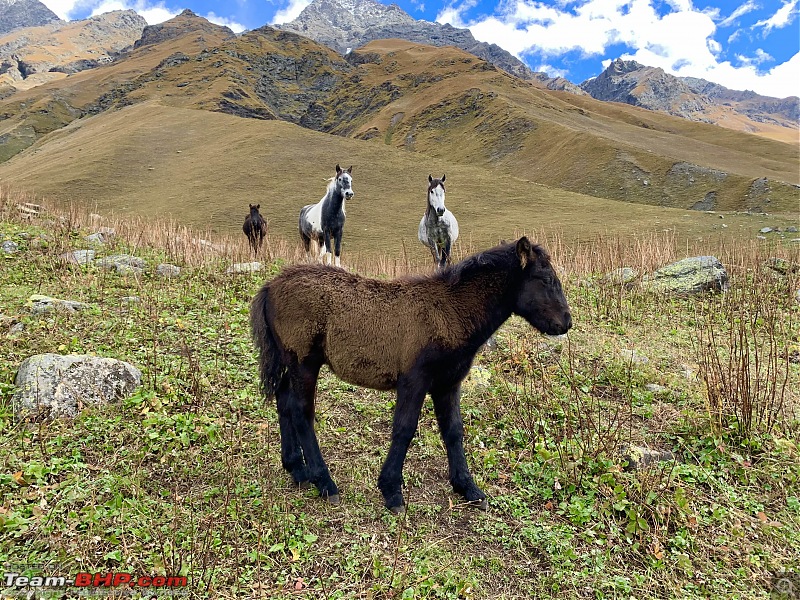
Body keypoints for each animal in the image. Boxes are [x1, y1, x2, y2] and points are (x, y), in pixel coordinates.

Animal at [250, 237, 568, 512]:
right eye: (546, 279)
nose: (566, 322)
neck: (449, 312)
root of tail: (271, 285)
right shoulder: (414, 380)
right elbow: (404, 429)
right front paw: (391, 490)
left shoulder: (448, 384)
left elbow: (454, 431)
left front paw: (467, 487)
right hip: (304, 363)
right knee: (301, 413)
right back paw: (324, 482)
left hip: (289, 363)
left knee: (284, 402)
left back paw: (296, 469)